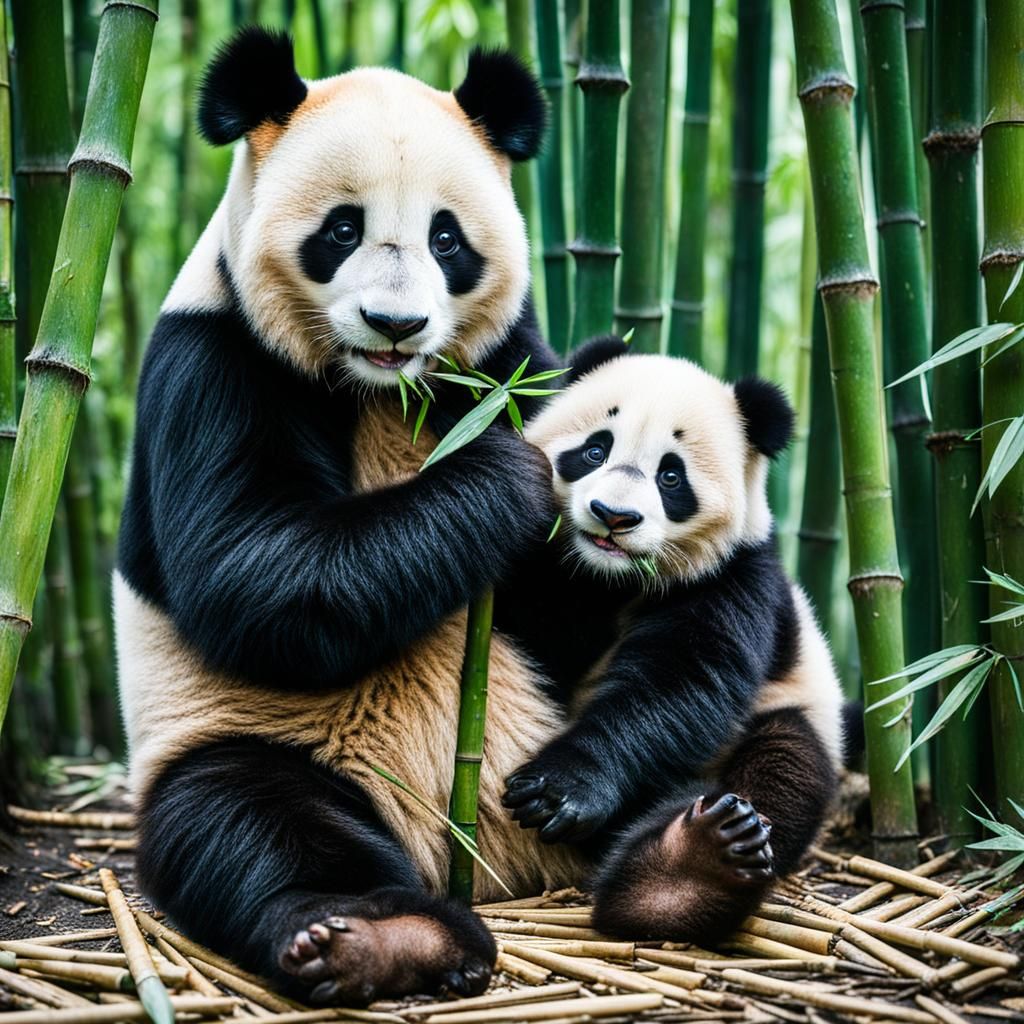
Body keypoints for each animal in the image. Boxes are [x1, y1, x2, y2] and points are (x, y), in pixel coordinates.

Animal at [495, 338, 846, 943]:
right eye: (595, 450)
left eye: (671, 476)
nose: (613, 516)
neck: (609, 576)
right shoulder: (548, 567)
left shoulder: (733, 578)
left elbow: (678, 681)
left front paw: (559, 789)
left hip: (795, 709)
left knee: (784, 768)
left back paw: (687, 872)